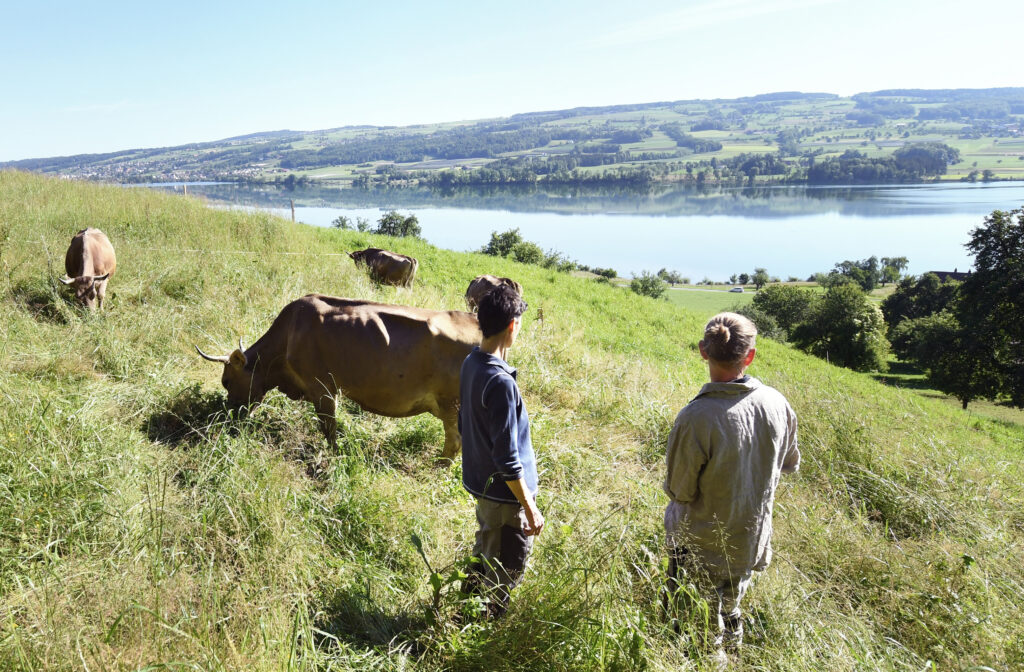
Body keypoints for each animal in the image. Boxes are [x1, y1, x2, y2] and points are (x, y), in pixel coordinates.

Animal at [197, 295, 481, 456]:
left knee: (455, 442)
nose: (230, 412)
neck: (288, 336)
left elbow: (329, 427)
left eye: (226, 381)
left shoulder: (322, 387)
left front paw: (334, 455)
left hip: (452, 405)